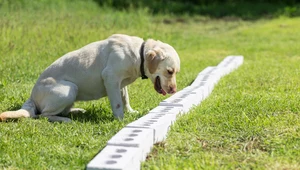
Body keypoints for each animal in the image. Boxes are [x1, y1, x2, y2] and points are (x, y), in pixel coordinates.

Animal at [0, 34, 179, 122]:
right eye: (170, 71)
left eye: (176, 72)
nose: (174, 90)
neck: (138, 53)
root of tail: (31, 96)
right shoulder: (111, 78)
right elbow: (118, 104)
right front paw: (121, 120)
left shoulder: (120, 84)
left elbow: (125, 99)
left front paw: (131, 112)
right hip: (69, 89)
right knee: (42, 115)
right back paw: (65, 120)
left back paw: (76, 111)